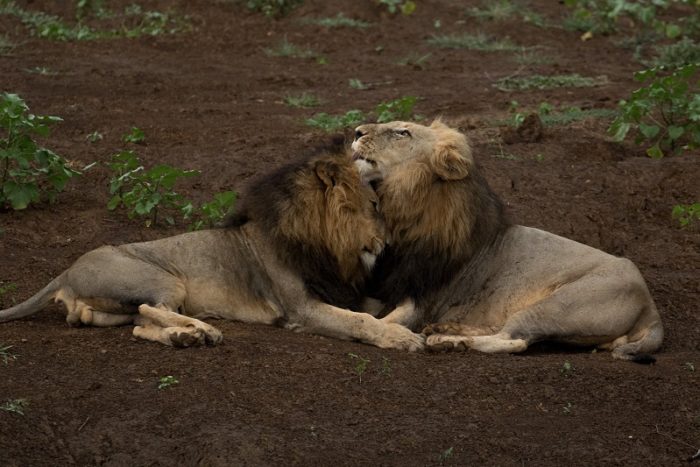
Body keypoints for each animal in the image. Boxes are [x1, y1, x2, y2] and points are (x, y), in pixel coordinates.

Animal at [0, 146, 424, 351]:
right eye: (374, 205)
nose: (388, 242)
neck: (327, 246)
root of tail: (66, 271)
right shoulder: (301, 309)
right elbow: (360, 321)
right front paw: (401, 338)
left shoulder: (340, 291)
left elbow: (387, 308)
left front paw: (405, 318)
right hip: (163, 278)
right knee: (149, 308)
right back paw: (204, 330)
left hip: (110, 310)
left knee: (138, 323)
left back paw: (183, 337)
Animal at [351, 120, 663, 362]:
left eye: (402, 132)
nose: (355, 132)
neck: (403, 212)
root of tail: (650, 308)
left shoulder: (422, 298)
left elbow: (384, 321)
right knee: (504, 330)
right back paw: (449, 330)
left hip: (556, 306)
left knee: (515, 339)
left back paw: (447, 341)